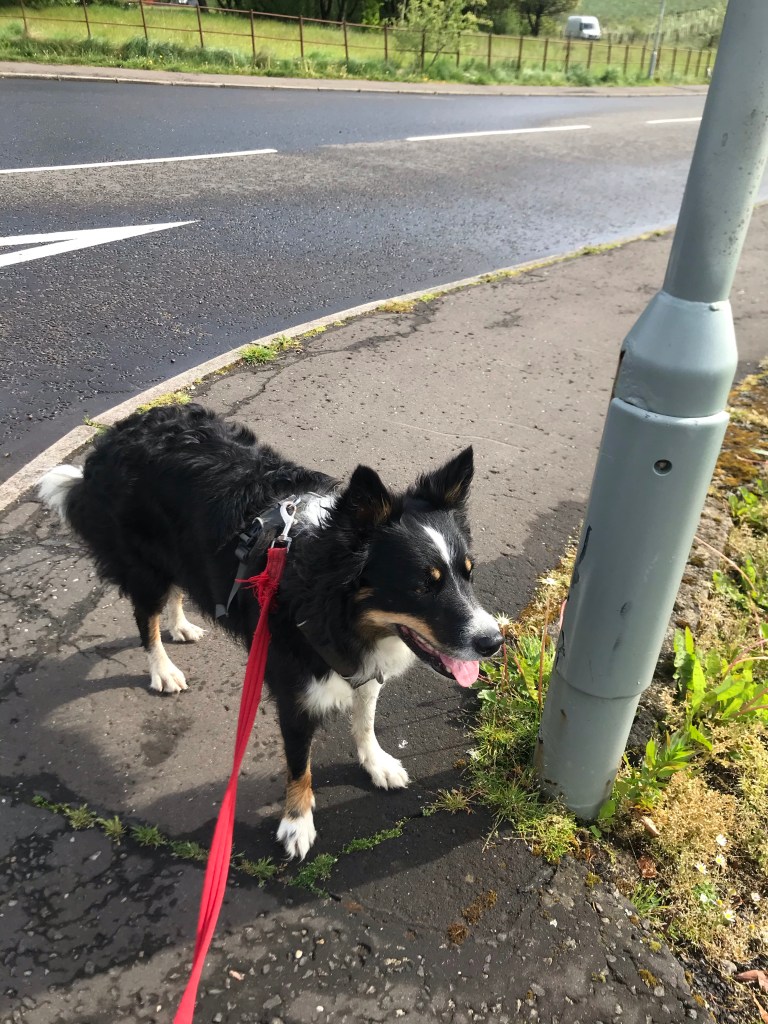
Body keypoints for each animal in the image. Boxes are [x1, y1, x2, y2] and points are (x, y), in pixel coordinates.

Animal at [39, 403, 502, 859]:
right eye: (422, 586)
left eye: (469, 573)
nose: (494, 642)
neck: (324, 595)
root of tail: (116, 435)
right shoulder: (293, 692)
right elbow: (300, 764)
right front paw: (297, 822)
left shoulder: (362, 664)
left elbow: (365, 718)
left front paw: (376, 763)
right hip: (146, 566)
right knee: (144, 617)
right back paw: (163, 670)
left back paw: (182, 626)